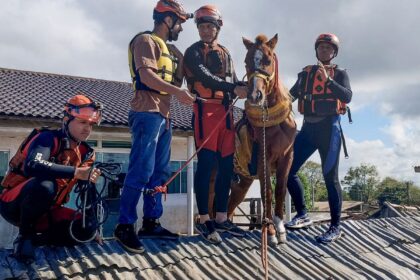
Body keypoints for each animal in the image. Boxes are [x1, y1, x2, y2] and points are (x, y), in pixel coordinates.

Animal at [226, 34, 298, 245]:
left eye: (268, 60)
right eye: (246, 62)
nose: (255, 95)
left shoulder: (287, 156)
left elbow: (280, 189)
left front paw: (280, 228)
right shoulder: (262, 158)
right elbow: (266, 192)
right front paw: (270, 231)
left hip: (241, 182)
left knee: (229, 207)